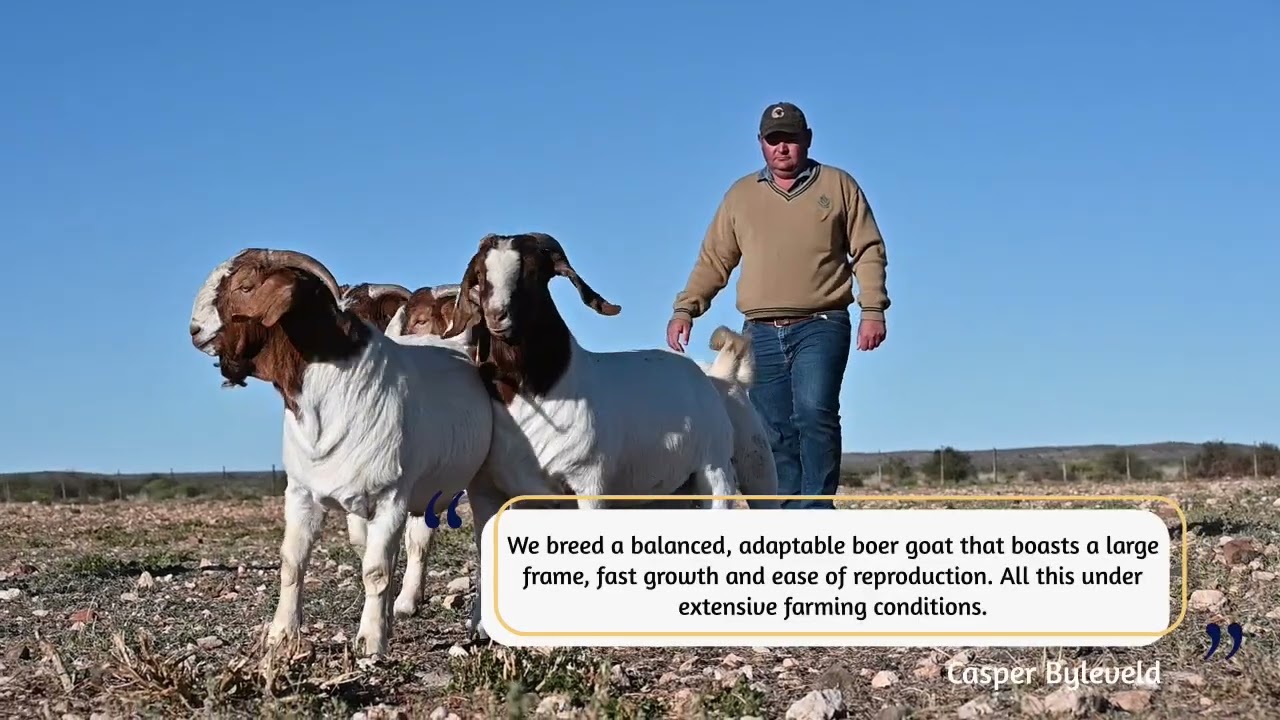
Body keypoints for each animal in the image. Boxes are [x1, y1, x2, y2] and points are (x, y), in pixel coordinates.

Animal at [187, 248, 542, 653]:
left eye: (246, 286)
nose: (194, 330)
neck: (338, 386)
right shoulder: (303, 492)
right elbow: (296, 562)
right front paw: (282, 634)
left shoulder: (392, 496)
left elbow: (375, 570)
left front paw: (371, 639)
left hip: (481, 483)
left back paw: (479, 624)